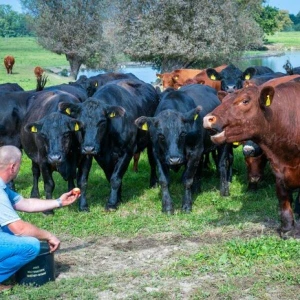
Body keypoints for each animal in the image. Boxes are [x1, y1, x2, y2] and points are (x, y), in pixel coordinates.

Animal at [57, 79, 158, 211]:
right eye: (80, 122)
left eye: (102, 122)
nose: (89, 148)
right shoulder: (92, 155)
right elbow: (86, 180)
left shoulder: (127, 151)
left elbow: (115, 178)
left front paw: (111, 204)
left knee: (153, 162)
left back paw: (154, 183)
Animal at [135, 84, 232, 214]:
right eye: (161, 135)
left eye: (182, 133)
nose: (174, 159)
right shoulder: (158, 154)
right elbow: (164, 180)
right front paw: (167, 206)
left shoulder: (195, 151)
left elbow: (187, 179)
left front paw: (186, 205)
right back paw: (196, 189)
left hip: (222, 143)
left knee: (222, 165)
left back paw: (224, 191)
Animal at [203, 78, 300, 238]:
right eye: (224, 100)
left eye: (245, 101)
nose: (207, 119)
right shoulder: (278, 170)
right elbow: (283, 198)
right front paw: (287, 228)